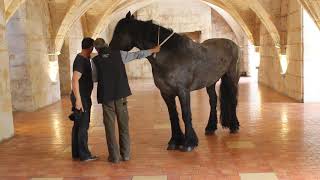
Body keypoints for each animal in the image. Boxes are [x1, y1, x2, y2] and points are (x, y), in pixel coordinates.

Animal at [110, 11, 240, 152]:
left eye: (119, 33)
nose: (108, 51)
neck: (172, 55)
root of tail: (232, 44)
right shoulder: (166, 93)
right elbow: (173, 115)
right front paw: (175, 141)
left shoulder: (183, 91)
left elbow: (186, 114)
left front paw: (189, 143)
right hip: (210, 82)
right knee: (213, 101)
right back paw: (210, 128)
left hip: (232, 77)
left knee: (233, 99)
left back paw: (234, 126)